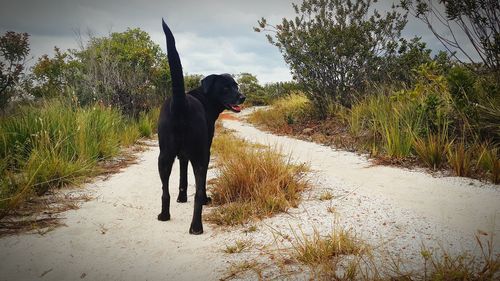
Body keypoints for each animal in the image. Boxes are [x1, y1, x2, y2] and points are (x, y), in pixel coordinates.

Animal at [157, 19, 245, 234]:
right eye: (226, 87)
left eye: (236, 85)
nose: (243, 97)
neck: (205, 98)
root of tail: (180, 103)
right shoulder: (203, 151)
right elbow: (198, 184)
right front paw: (203, 199)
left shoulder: (182, 155)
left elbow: (182, 179)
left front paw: (181, 198)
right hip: (201, 156)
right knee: (198, 192)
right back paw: (196, 225)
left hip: (164, 156)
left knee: (164, 191)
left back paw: (164, 215)